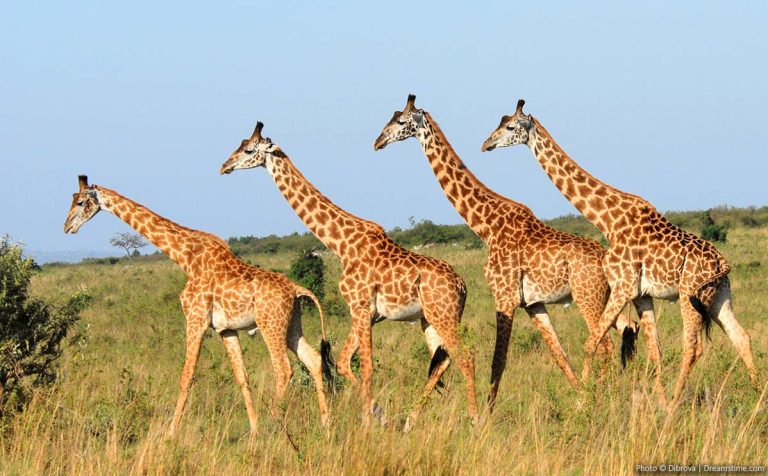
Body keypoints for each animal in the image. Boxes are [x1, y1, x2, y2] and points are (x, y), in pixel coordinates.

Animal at [63, 175, 333, 435]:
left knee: (284, 370)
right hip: (291, 323)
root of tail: (297, 289)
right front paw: (254, 430)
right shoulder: (226, 329)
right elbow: (242, 376)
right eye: (73, 198)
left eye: (80, 202)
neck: (185, 258)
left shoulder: (195, 319)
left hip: (271, 324)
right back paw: (324, 423)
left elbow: (187, 375)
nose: (66, 227)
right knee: (313, 359)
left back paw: (275, 423)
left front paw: (171, 432)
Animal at [220, 122, 478, 429]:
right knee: (443, 359)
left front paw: (369, 421)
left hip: (444, 315)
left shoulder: (360, 306)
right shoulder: (366, 312)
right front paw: (377, 414)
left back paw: (477, 420)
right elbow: (344, 362)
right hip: (430, 318)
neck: (341, 245)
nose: (224, 166)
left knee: (465, 356)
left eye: (248, 150)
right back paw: (411, 420)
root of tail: (463, 285)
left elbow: (365, 367)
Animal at [373, 94, 635, 410]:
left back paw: (602, 400)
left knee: (604, 342)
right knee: (627, 329)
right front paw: (579, 396)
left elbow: (498, 360)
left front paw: (484, 416)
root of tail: (606, 259)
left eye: (400, 122)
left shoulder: (503, 295)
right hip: (606, 297)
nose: (378, 141)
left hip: (588, 295)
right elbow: (559, 356)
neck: (485, 225)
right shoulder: (533, 303)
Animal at [482, 100, 758, 405]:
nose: (486, 144)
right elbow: (654, 348)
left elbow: (591, 343)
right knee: (741, 336)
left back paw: (676, 403)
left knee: (693, 347)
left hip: (689, 294)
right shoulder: (641, 295)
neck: (608, 220)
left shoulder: (622, 287)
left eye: (510, 126)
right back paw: (758, 396)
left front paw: (585, 400)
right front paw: (655, 401)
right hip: (720, 295)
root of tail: (722, 262)